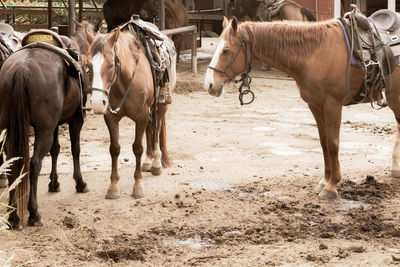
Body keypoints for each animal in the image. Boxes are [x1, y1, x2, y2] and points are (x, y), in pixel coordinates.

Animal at [0, 22, 94, 229]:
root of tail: (22, 68)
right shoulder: (76, 119)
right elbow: (75, 149)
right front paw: (80, 183)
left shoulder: (55, 124)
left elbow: (56, 149)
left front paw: (54, 183)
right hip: (44, 130)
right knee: (35, 163)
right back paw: (33, 213)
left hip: (12, 128)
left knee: (12, 163)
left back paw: (13, 215)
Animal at [88, 27, 176, 199]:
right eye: (89, 66)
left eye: (111, 65)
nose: (97, 103)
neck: (125, 81)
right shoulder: (111, 117)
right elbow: (114, 148)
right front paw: (113, 187)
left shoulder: (141, 116)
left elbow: (137, 148)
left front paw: (138, 186)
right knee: (150, 130)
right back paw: (148, 161)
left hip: (161, 106)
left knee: (156, 130)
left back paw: (156, 162)